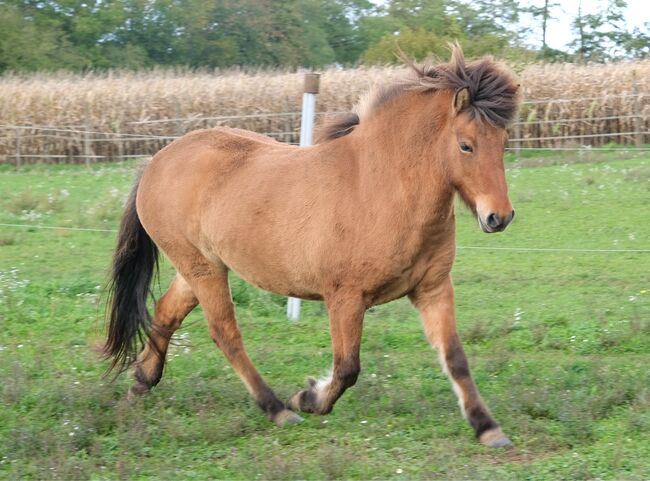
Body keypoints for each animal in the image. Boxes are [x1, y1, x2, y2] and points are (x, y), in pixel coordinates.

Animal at [105, 45, 520, 448]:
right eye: (466, 145)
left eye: (502, 142)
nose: (499, 217)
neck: (380, 187)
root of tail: (156, 160)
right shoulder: (346, 298)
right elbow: (348, 367)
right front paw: (308, 398)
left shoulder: (432, 289)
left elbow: (455, 357)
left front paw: (488, 428)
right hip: (202, 269)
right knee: (225, 332)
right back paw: (276, 409)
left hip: (200, 267)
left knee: (166, 312)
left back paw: (142, 381)